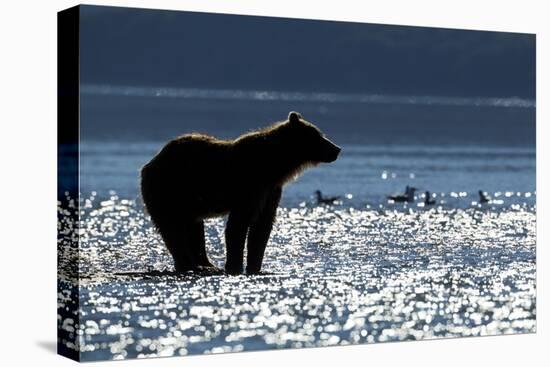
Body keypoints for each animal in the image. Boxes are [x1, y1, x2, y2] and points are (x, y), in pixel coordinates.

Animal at [141, 112, 340, 276]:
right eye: (318, 135)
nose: (337, 148)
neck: (275, 165)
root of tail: (152, 161)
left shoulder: (271, 191)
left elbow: (262, 227)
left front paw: (255, 266)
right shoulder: (249, 186)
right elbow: (238, 225)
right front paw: (235, 266)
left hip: (188, 202)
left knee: (193, 228)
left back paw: (205, 264)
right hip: (168, 190)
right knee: (172, 229)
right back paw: (189, 264)